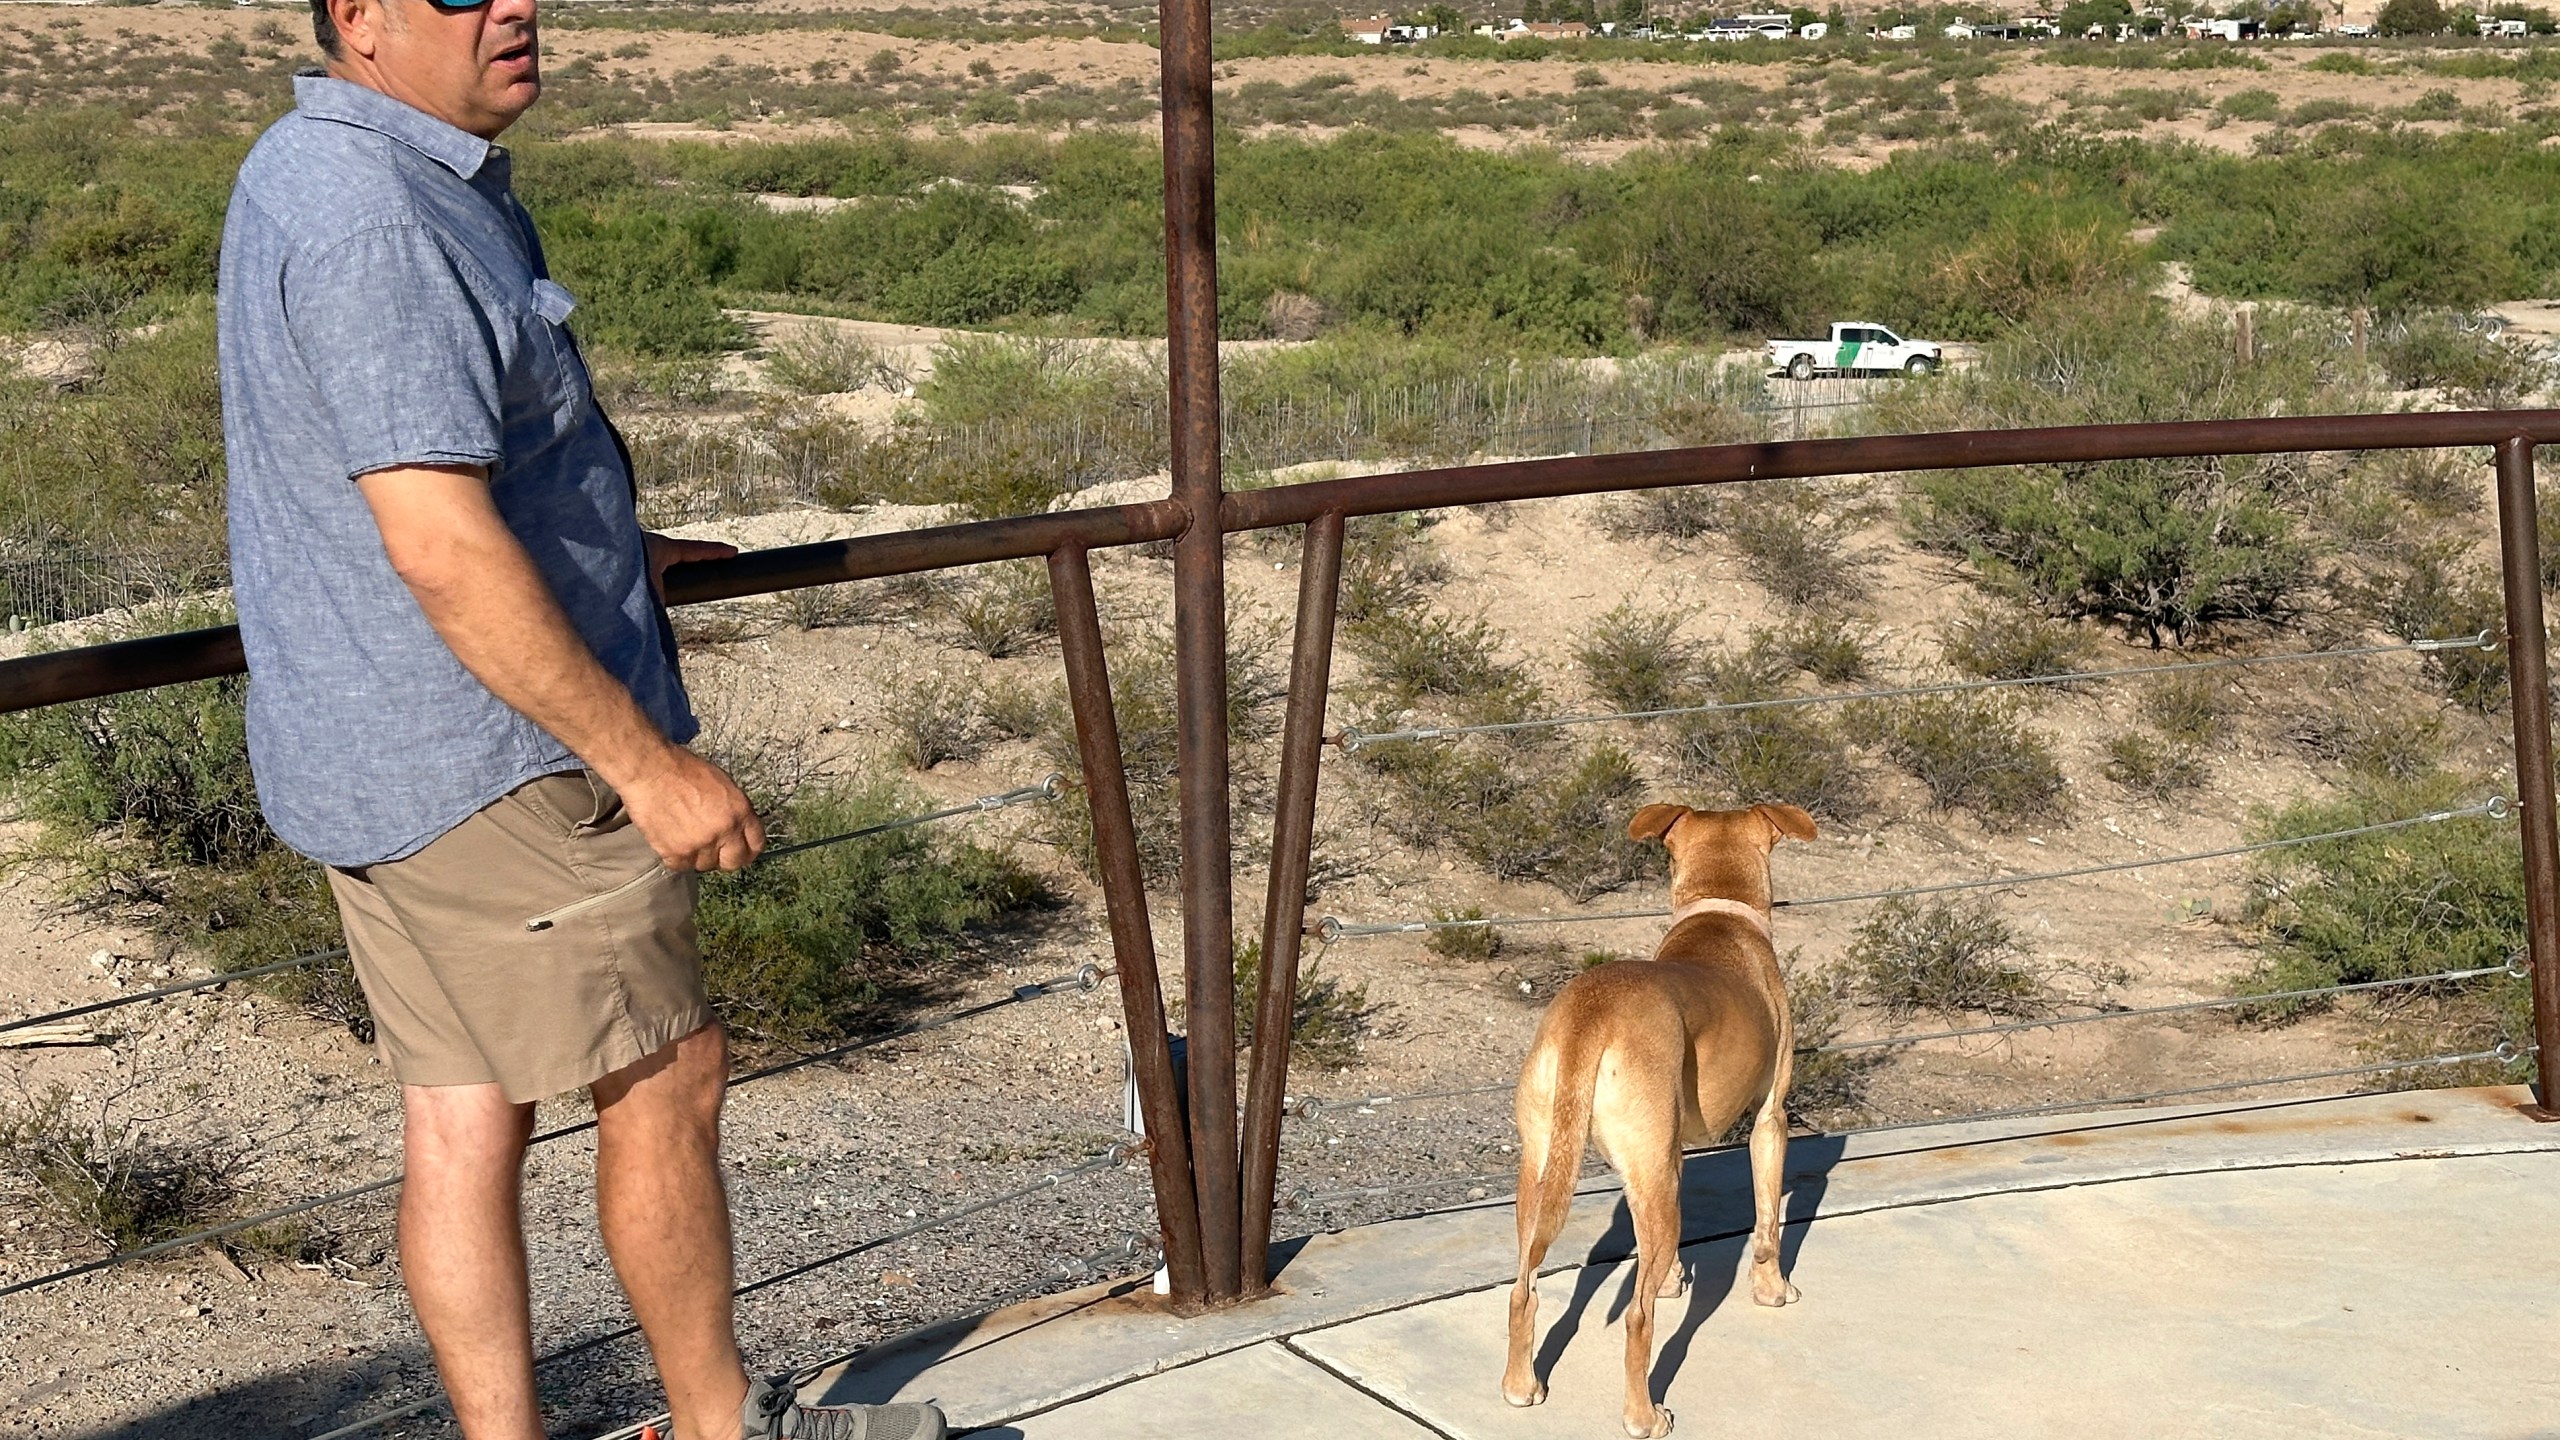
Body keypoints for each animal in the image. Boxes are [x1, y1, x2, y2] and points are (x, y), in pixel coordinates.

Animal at [1495, 799, 1822, 1424]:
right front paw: (1774, 1289)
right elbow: (1768, 1220)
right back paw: (1644, 1417)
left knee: (1524, 1288)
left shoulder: (1666, 1159)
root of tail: (1594, 1011)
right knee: (1637, 1317)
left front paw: (1671, 1277)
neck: (1722, 910)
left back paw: (1521, 1386)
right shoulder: (1770, 1121)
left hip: (1547, 1170)